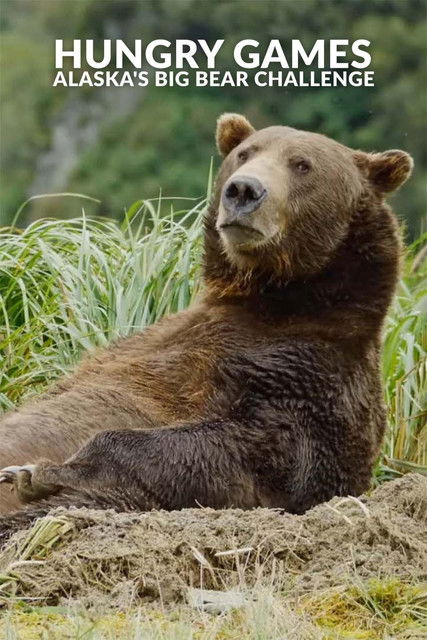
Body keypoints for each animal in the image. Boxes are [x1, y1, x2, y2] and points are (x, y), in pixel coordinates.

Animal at [0, 113, 413, 539]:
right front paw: (33, 471)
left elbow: (231, 454)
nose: (244, 189)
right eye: (245, 153)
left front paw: (38, 471)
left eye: (302, 165)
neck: (273, 298)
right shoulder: (150, 342)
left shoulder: (305, 387)